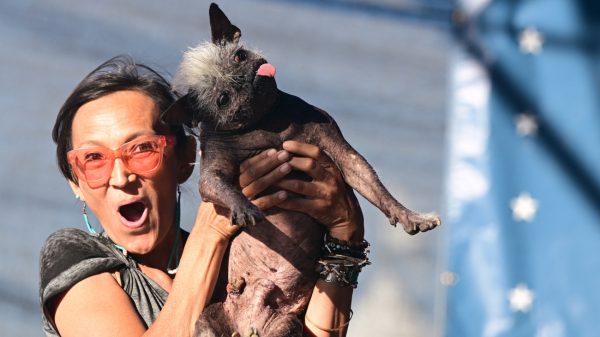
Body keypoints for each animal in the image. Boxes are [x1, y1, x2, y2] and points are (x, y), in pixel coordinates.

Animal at [164, 3, 440, 334]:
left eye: (239, 56)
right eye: (222, 99)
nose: (241, 79)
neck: (265, 121)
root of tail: (249, 324)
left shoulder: (337, 147)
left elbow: (370, 181)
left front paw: (410, 215)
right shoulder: (213, 168)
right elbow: (219, 184)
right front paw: (245, 208)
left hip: (285, 325)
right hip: (208, 321)